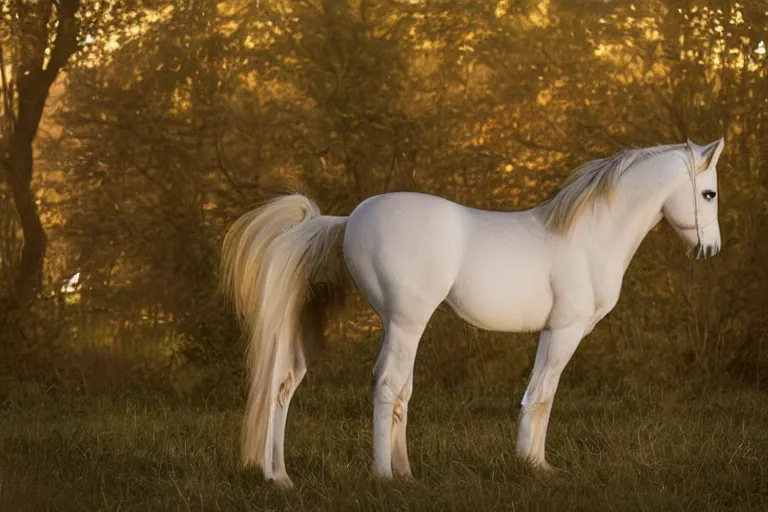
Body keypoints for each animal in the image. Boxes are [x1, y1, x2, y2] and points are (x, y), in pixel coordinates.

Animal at [219, 137, 724, 488]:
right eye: (709, 194)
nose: (711, 249)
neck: (587, 237)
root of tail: (347, 221)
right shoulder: (563, 330)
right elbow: (542, 394)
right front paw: (535, 467)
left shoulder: (554, 331)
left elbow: (540, 394)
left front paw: (535, 463)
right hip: (405, 322)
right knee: (387, 385)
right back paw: (384, 477)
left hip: (363, 329)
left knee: (293, 388)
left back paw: (294, 477)